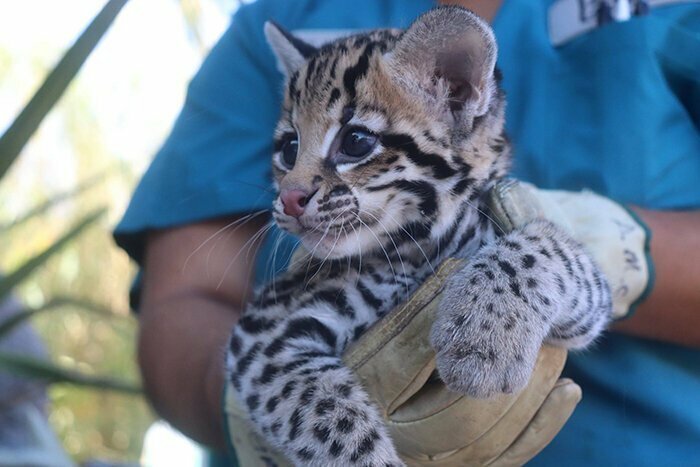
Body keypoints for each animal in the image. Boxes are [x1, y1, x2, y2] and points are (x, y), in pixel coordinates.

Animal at [227, 7, 608, 467]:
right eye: (289, 148)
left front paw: (485, 338)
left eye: (356, 142)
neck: (421, 246)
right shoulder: (264, 332)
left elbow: (549, 247)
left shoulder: (582, 299)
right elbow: (326, 416)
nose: (289, 199)